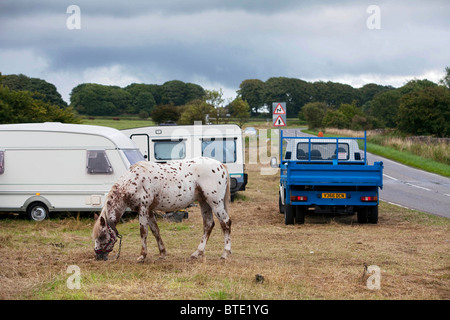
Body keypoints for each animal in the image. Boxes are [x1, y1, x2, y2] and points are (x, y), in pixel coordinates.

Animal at [92, 156, 232, 262]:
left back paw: (225, 254)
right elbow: (155, 231)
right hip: (204, 202)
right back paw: (197, 253)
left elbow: (143, 232)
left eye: (102, 236)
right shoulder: (149, 211)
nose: (98, 256)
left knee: (225, 223)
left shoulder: (143, 209)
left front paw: (142, 256)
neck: (133, 181)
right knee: (208, 225)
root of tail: (220, 165)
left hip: (215, 203)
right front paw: (162, 253)